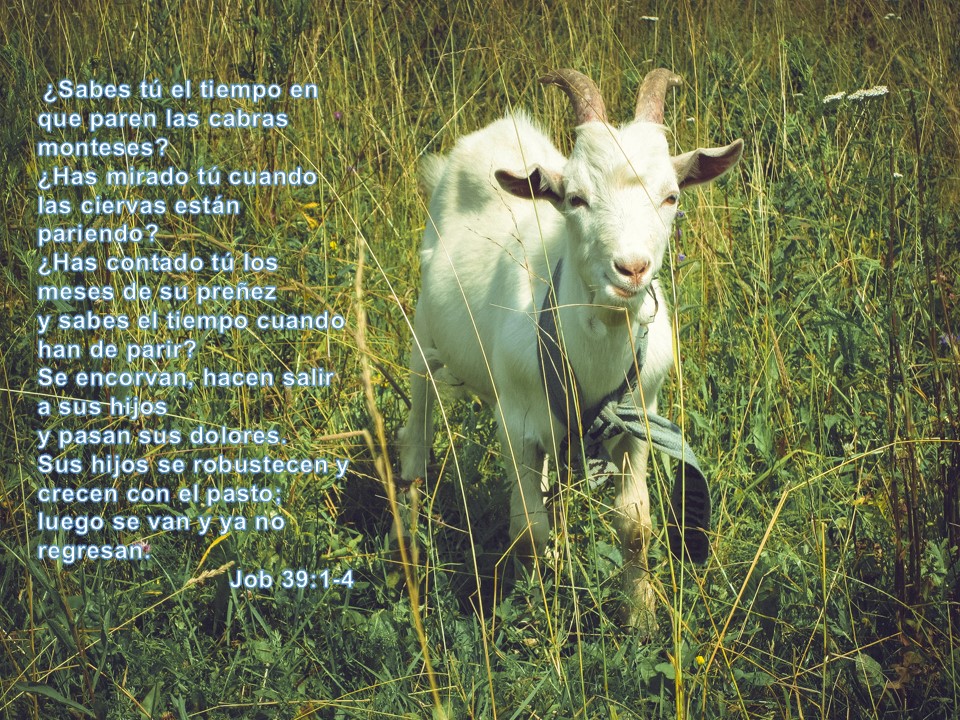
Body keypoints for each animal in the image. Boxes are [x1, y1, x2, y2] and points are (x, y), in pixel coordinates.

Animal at [398, 68, 742, 629]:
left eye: (671, 197)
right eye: (576, 198)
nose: (632, 268)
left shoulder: (638, 419)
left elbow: (635, 525)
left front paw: (641, 616)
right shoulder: (515, 424)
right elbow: (527, 530)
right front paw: (539, 607)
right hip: (425, 338)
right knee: (417, 436)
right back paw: (403, 541)